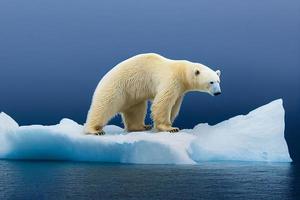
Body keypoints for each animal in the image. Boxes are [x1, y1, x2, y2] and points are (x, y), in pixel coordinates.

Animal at [84, 53, 220, 135]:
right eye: (211, 82)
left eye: (219, 81)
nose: (218, 92)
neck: (181, 71)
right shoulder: (171, 80)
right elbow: (163, 103)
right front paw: (171, 128)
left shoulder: (180, 90)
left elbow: (174, 106)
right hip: (116, 88)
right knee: (104, 107)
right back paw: (95, 130)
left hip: (132, 95)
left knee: (136, 110)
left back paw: (141, 126)